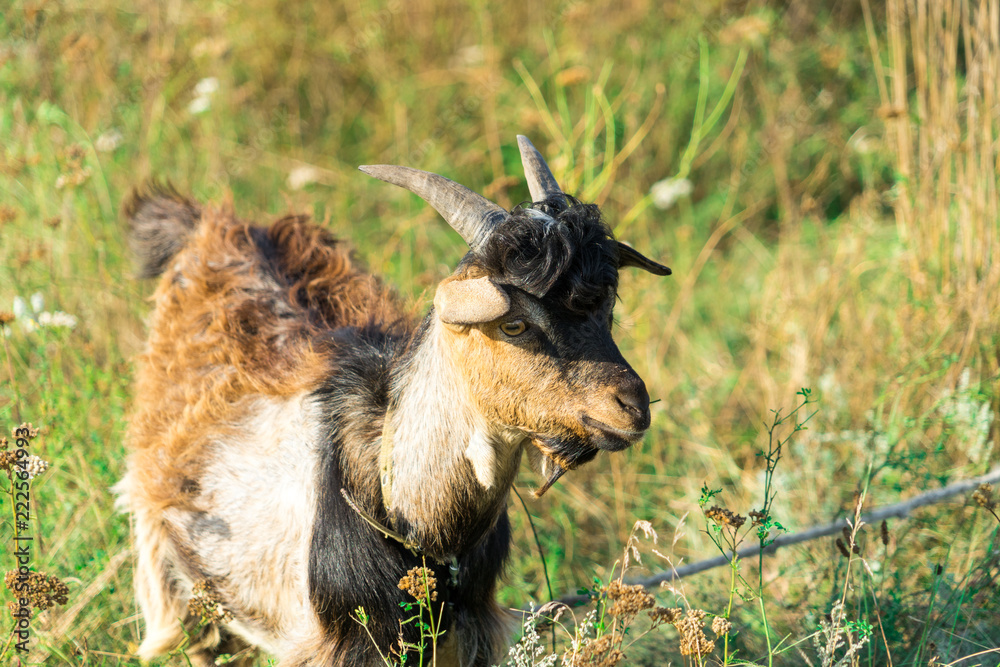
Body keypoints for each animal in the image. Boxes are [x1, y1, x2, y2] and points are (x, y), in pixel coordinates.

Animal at [116, 136, 671, 667]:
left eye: (607, 305)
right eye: (514, 324)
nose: (632, 406)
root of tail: (206, 227)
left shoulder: (465, 637)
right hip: (173, 575)